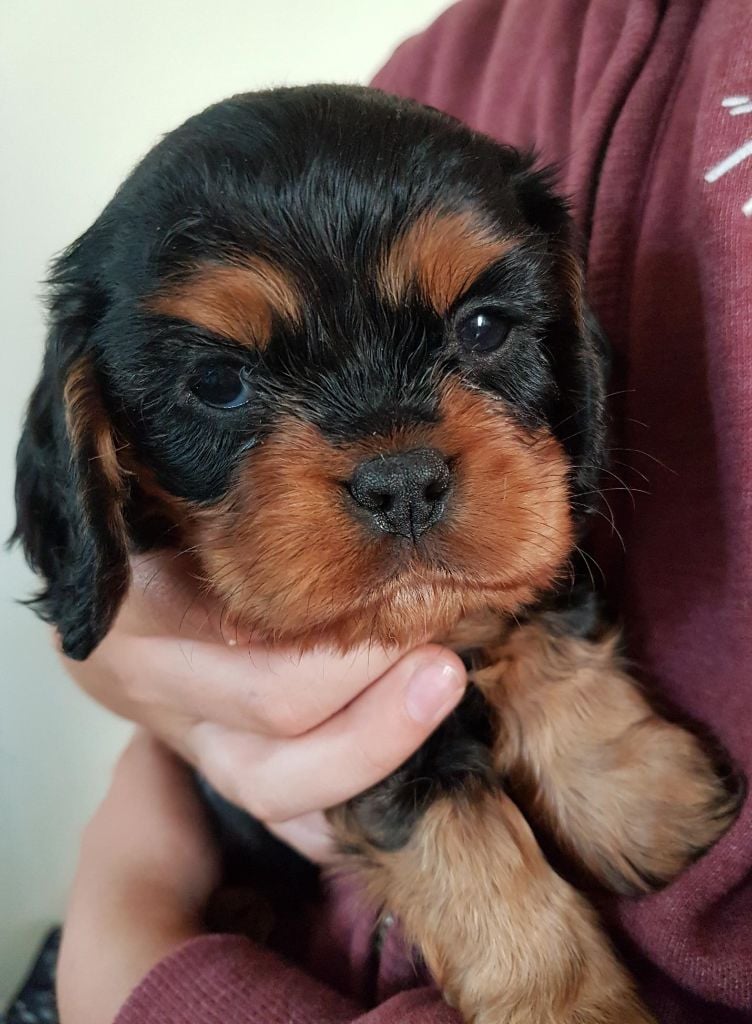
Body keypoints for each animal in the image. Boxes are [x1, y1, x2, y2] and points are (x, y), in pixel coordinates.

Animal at [14, 85, 739, 1023]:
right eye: (216, 385)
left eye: (483, 327)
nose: (402, 482)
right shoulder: (364, 747)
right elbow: (463, 841)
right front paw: (567, 998)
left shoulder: (534, 524)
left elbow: (542, 628)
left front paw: (636, 797)